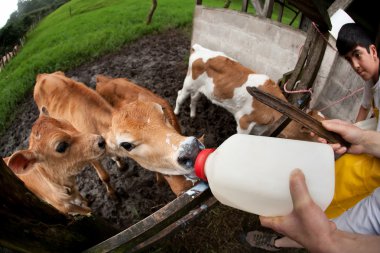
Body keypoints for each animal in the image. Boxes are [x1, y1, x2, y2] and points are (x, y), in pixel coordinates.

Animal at [34, 70, 203, 193]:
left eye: (162, 113)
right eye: (127, 144)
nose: (191, 150)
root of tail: (43, 75)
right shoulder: (87, 154)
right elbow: (104, 176)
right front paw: (112, 194)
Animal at [174, 44, 320, 141]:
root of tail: (200, 49)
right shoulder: (243, 121)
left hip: (200, 88)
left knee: (194, 98)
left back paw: (193, 115)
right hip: (189, 83)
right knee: (180, 95)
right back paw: (176, 113)